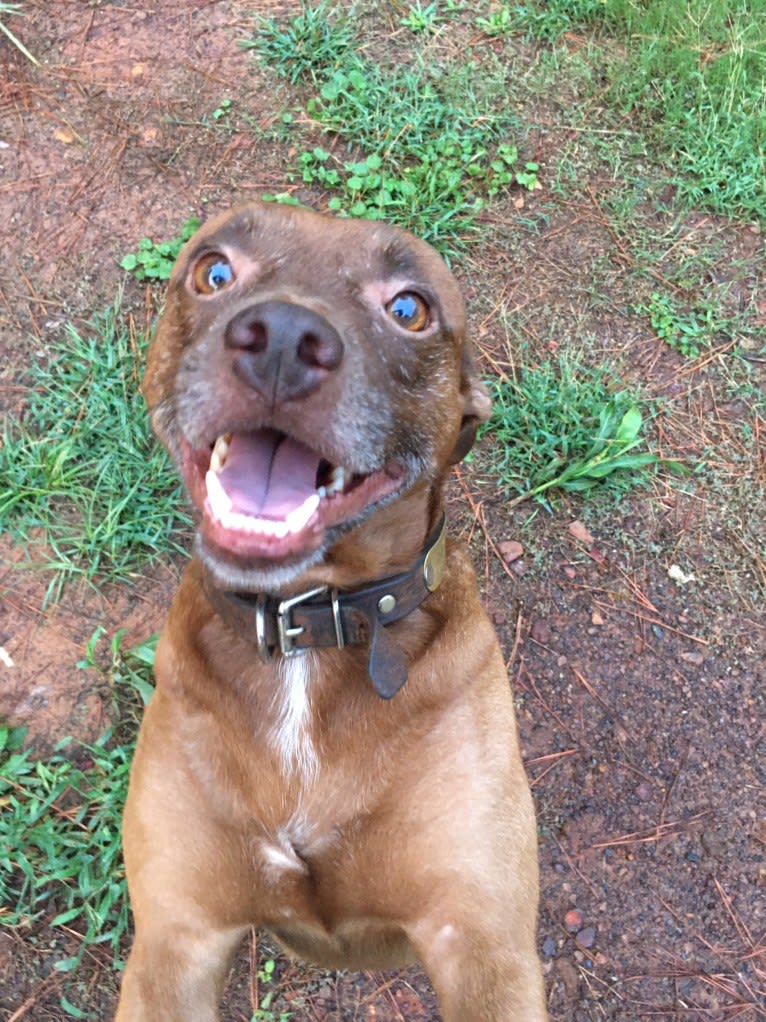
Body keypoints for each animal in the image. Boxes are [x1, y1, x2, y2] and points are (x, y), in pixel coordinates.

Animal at [113, 201, 547, 1021]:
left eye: (409, 309)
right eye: (214, 270)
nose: (283, 338)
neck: (307, 631)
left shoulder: (482, 944)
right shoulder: (174, 943)